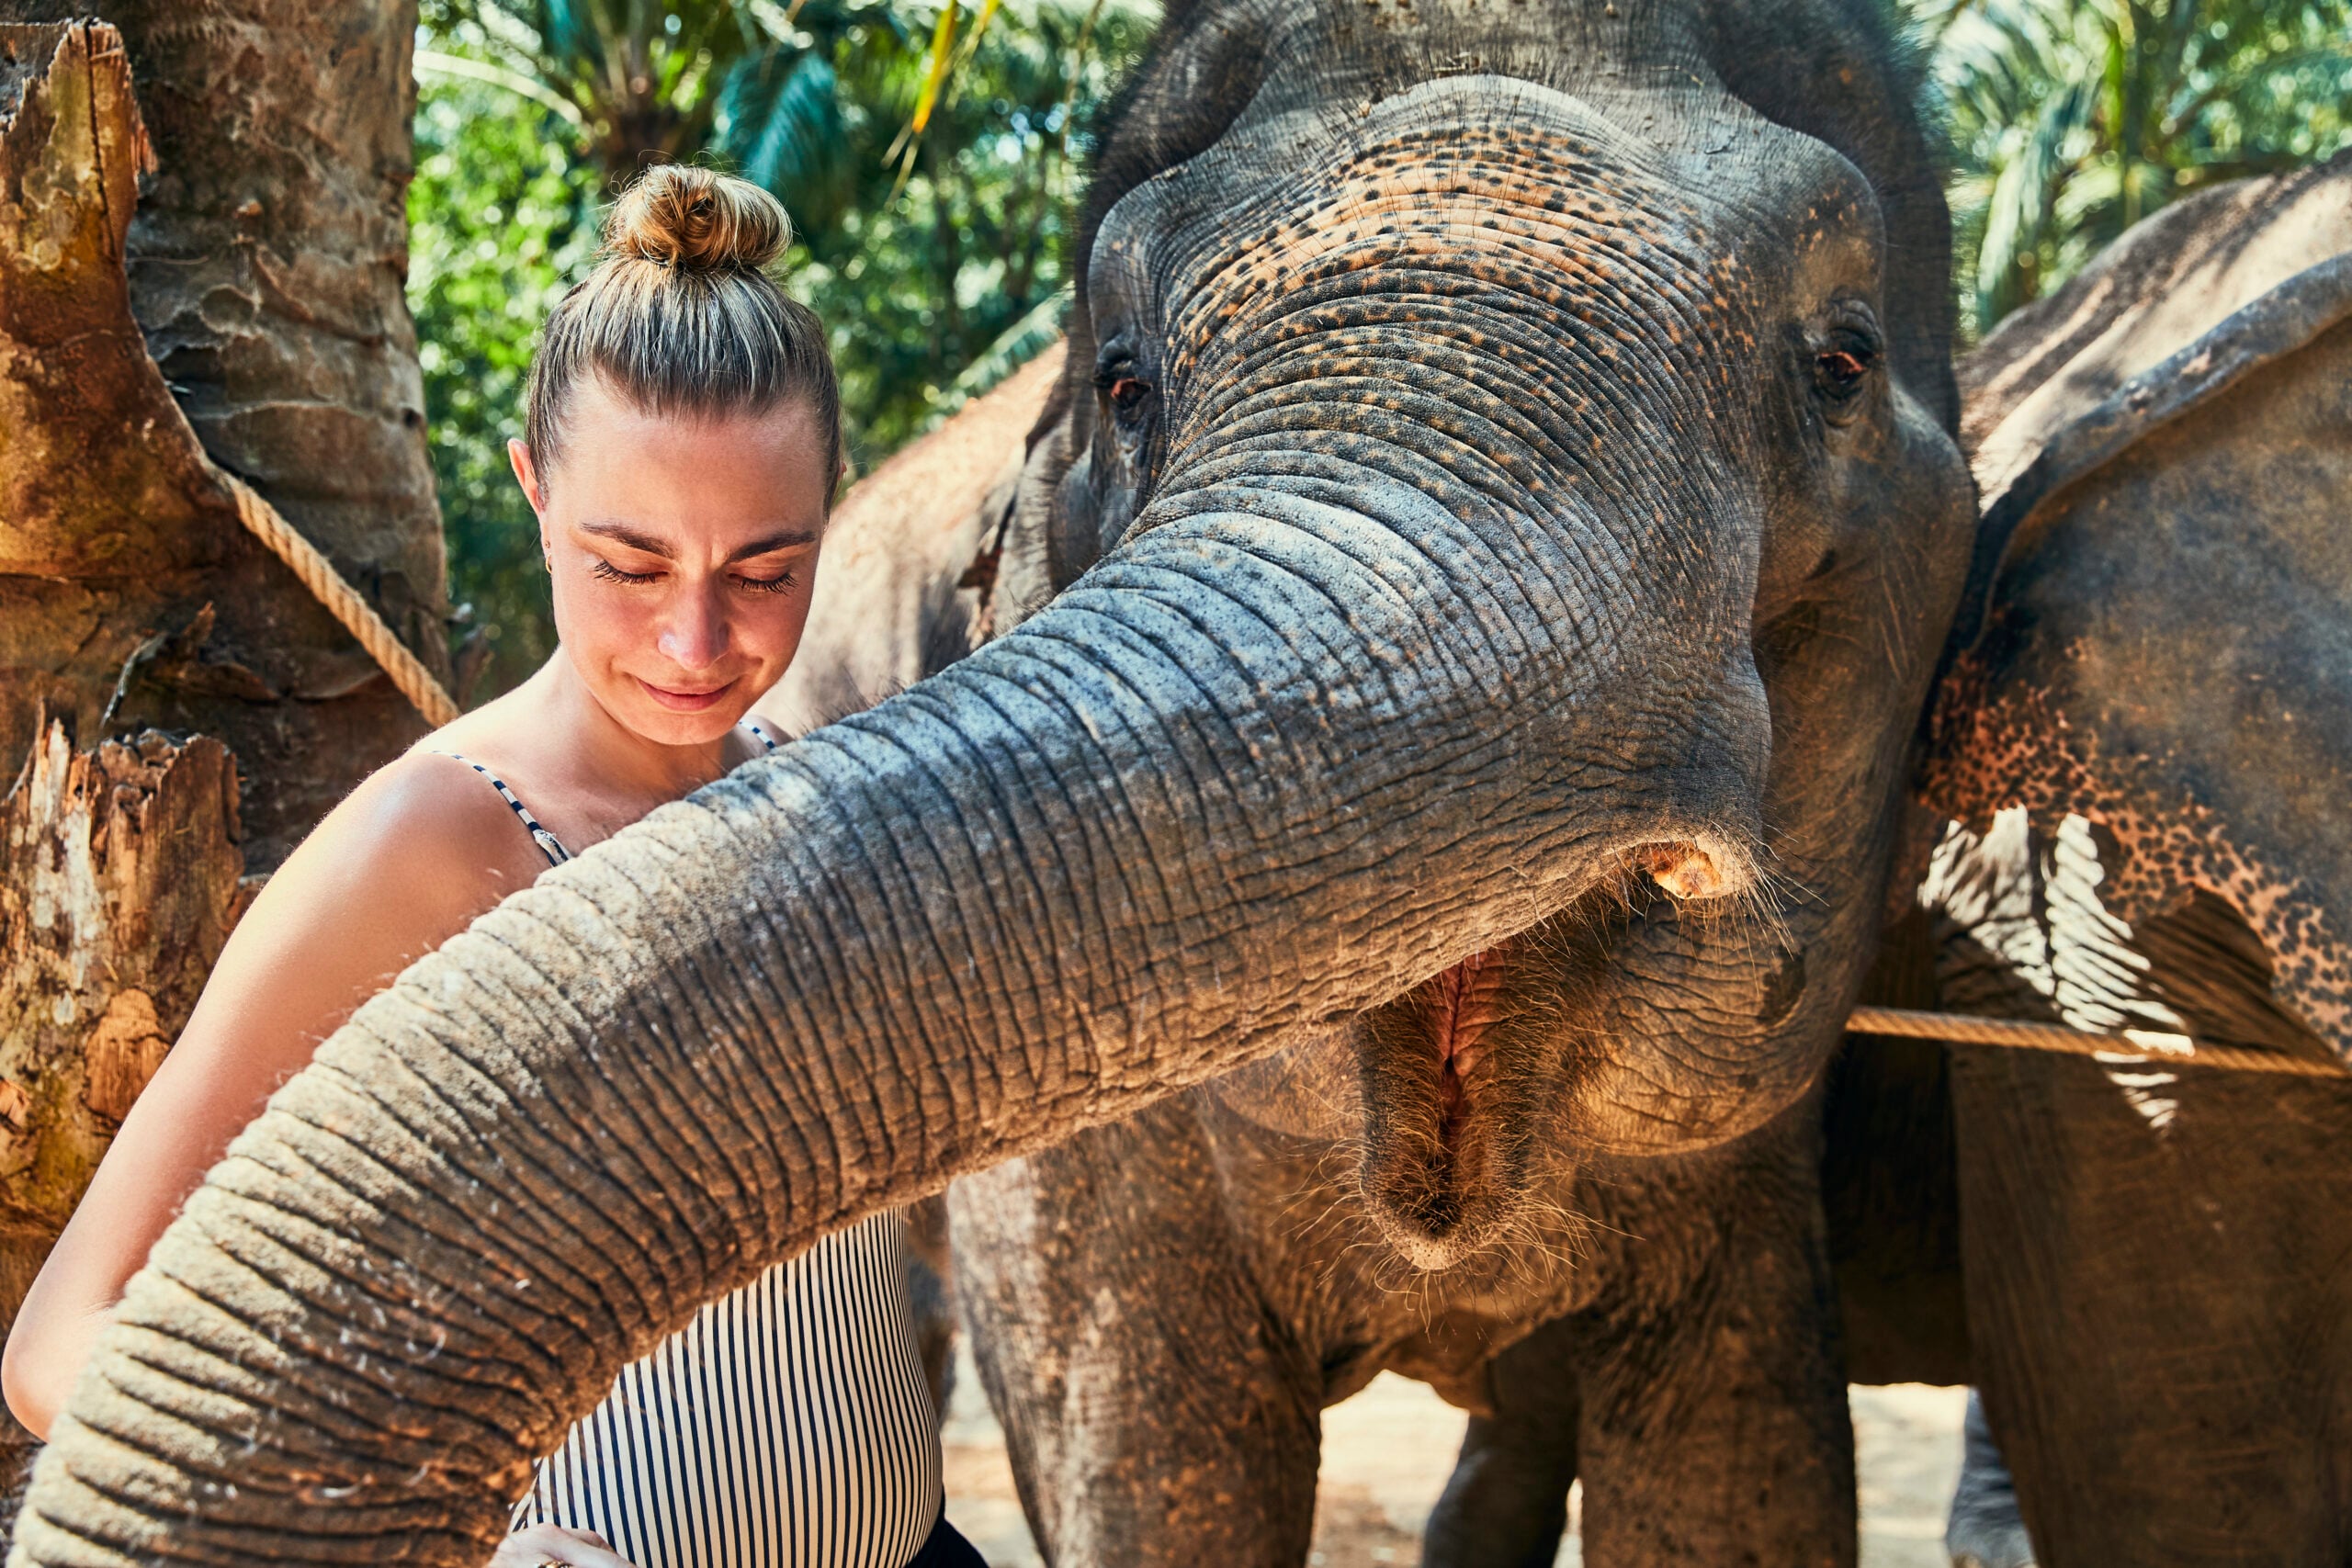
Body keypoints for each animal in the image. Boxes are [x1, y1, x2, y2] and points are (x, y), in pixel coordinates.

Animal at [9, 0, 1980, 1561]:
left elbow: (1740, 1477)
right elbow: (1150, 1467)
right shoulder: (1093, 1192)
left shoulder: (1751, 1185)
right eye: (1124, 382)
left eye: (1843, 360)